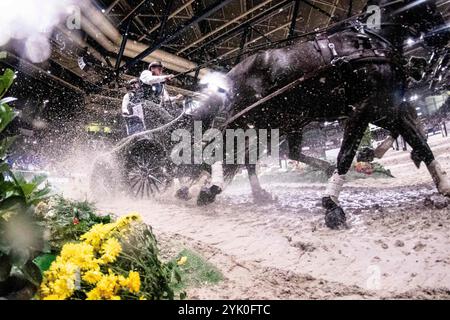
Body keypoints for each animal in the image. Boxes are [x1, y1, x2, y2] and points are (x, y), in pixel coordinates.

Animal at [192, 0, 450, 230]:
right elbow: (345, 155)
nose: (444, 35)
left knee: (252, 156)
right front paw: (332, 205)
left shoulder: (386, 109)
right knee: (220, 146)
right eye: (429, 6)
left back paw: (249, 192)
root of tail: (231, 73)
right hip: (245, 118)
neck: (370, 43)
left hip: (274, 121)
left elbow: (420, 142)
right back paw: (208, 189)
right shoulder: (363, 108)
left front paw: (444, 187)